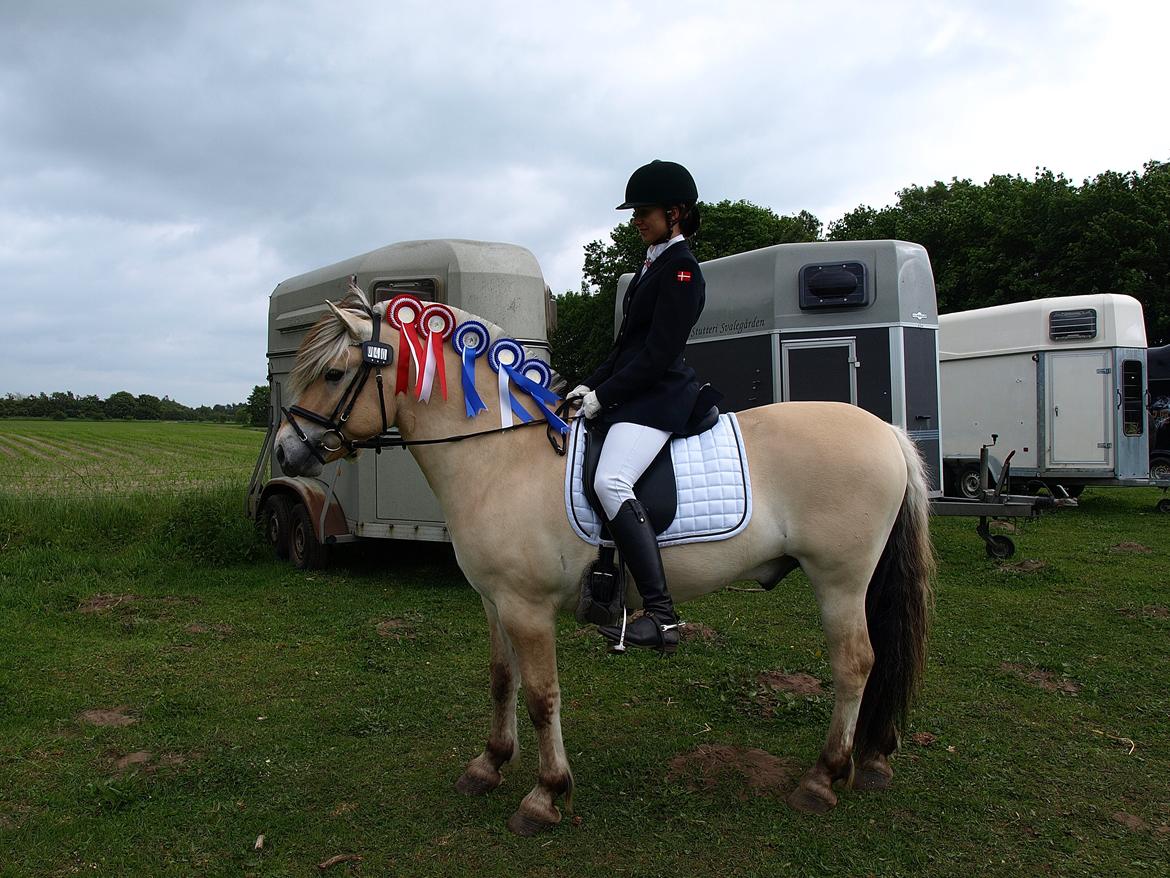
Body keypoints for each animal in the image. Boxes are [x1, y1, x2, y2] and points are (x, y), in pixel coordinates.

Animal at [271, 290, 931, 838]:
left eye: (333, 373)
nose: (285, 451)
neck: (499, 457)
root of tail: (885, 431)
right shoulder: (494, 601)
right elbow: (501, 681)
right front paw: (489, 765)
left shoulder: (528, 607)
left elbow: (542, 696)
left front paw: (544, 795)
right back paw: (872, 760)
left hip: (840, 579)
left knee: (855, 664)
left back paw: (823, 777)